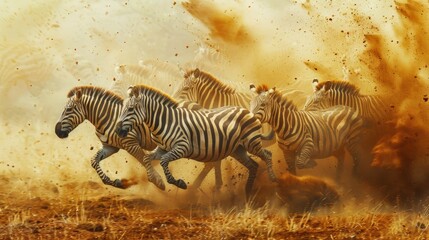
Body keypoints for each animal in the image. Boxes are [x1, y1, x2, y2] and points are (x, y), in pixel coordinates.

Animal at [115, 84, 276, 197]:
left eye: (130, 109)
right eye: (122, 108)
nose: (117, 130)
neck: (165, 121)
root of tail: (247, 111)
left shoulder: (183, 147)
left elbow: (164, 161)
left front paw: (179, 183)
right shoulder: (162, 148)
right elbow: (147, 158)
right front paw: (156, 181)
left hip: (251, 142)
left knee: (268, 154)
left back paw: (273, 179)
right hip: (237, 150)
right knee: (253, 165)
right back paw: (247, 191)